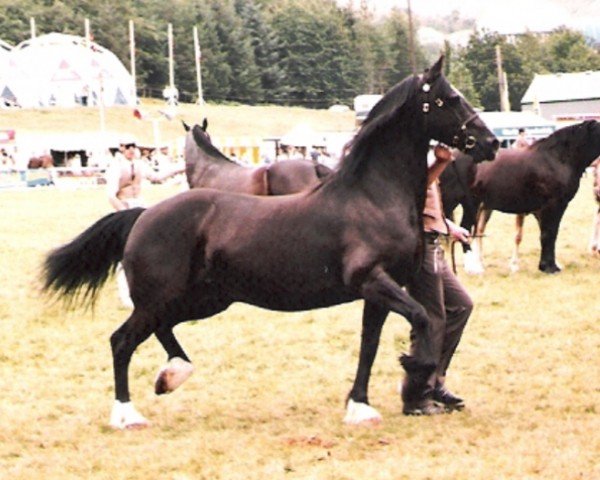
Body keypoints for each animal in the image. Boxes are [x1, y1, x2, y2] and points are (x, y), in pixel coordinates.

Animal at [438, 120, 600, 274]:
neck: (557, 158)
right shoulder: (553, 205)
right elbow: (549, 234)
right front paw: (549, 268)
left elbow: (547, 234)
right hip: (456, 201)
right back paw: (472, 268)